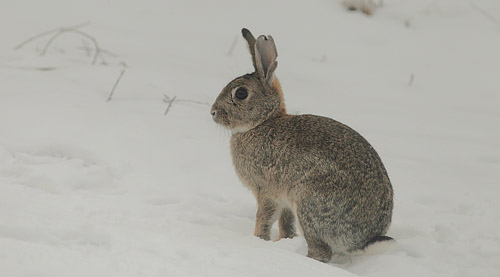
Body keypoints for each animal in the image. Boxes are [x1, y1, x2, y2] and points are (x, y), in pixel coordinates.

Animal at [209, 29, 392, 262]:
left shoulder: (266, 191)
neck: (263, 122)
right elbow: (286, 224)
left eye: (241, 93)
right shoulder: (285, 201)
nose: (213, 112)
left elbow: (264, 219)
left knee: (321, 252)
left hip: (310, 203)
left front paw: (258, 239)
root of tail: (364, 239)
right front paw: (281, 241)